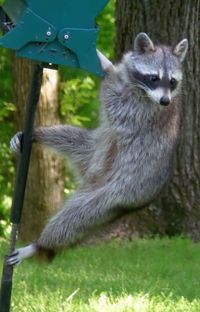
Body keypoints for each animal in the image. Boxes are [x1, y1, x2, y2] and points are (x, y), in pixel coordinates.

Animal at [8, 33, 188, 264]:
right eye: (154, 78)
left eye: (172, 81)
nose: (165, 100)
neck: (140, 87)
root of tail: (90, 179)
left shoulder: (140, 110)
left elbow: (113, 98)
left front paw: (102, 63)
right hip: (91, 151)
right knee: (69, 137)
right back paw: (37, 135)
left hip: (120, 192)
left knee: (75, 218)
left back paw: (39, 245)